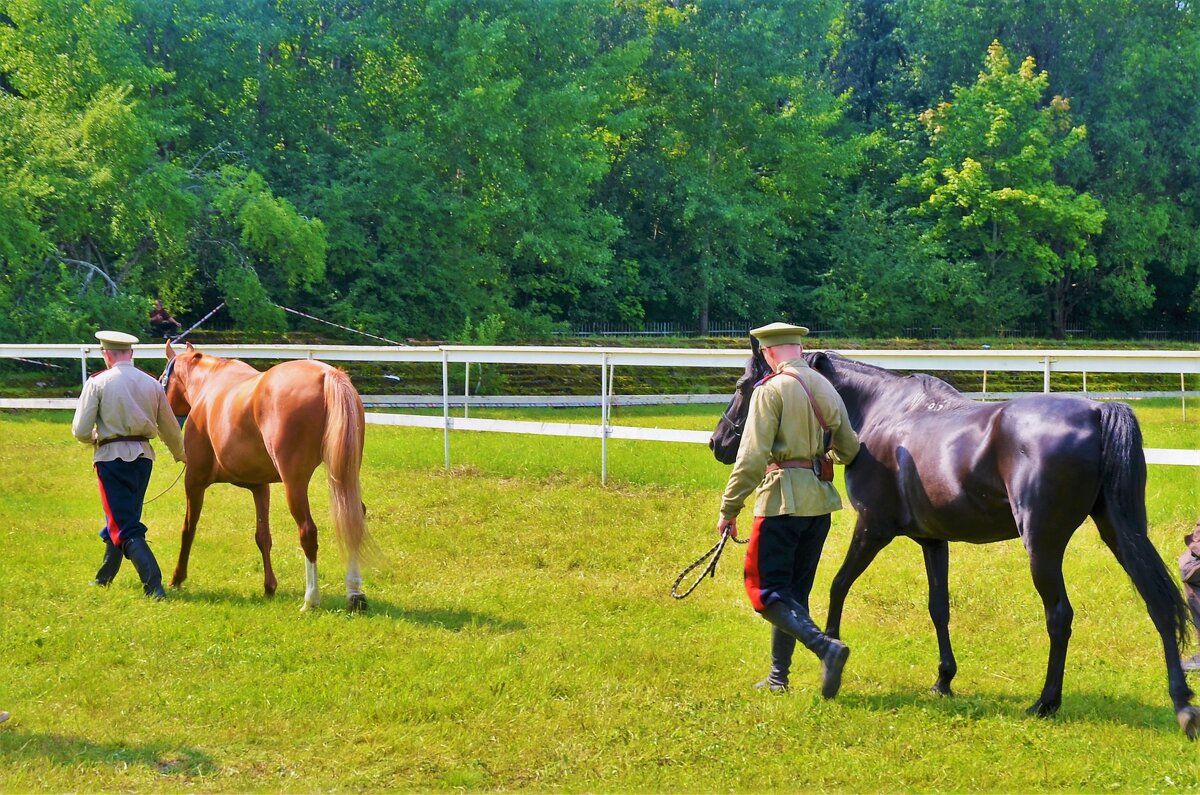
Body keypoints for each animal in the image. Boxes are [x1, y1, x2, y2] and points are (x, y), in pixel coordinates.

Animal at [162, 338, 369, 612]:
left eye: (163, 378)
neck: (209, 384)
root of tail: (327, 375)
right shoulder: (260, 487)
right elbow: (263, 536)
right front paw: (269, 587)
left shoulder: (194, 480)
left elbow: (188, 528)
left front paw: (177, 577)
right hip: (345, 475)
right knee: (354, 518)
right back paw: (355, 593)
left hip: (295, 484)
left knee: (308, 531)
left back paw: (311, 599)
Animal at [705, 348, 1195, 739]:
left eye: (743, 385)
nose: (717, 443)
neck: (881, 412)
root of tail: (1097, 412)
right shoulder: (932, 540)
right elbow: (938, 607)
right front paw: (944, 679)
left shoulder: (872, 528)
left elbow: (838, 586)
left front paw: (831, 655)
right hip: (1120, 531)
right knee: (1159, 603)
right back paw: (1183, 705)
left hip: (1042, 546)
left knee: (1060, 616)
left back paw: (1046, 701)